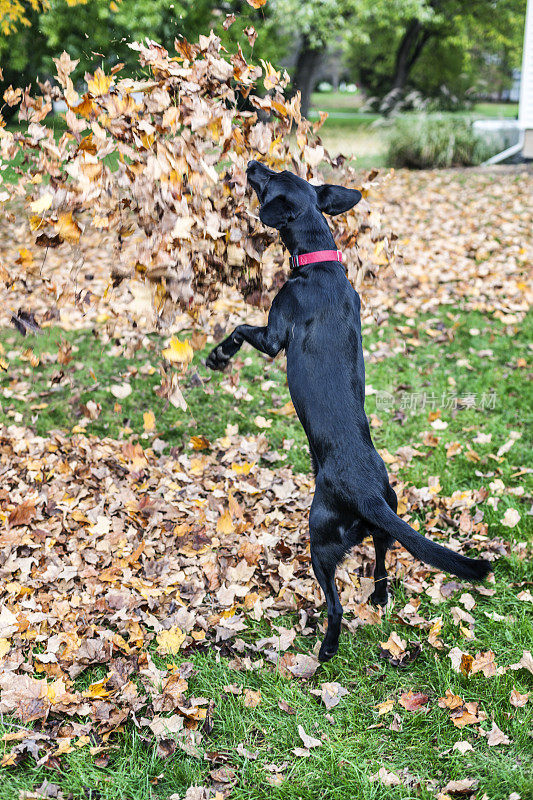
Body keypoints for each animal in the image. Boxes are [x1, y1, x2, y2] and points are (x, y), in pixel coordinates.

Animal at [206, 162, 488, 664]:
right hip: (384, 525)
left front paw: (219, 356)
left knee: (335, 604)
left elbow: (239, 327)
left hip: (319, 540)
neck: (320, 261)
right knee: (382, 564)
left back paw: (327, 648)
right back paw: (377, 597)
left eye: (271, 179)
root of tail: (368, 495)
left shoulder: (275, 334)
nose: (252, 166)